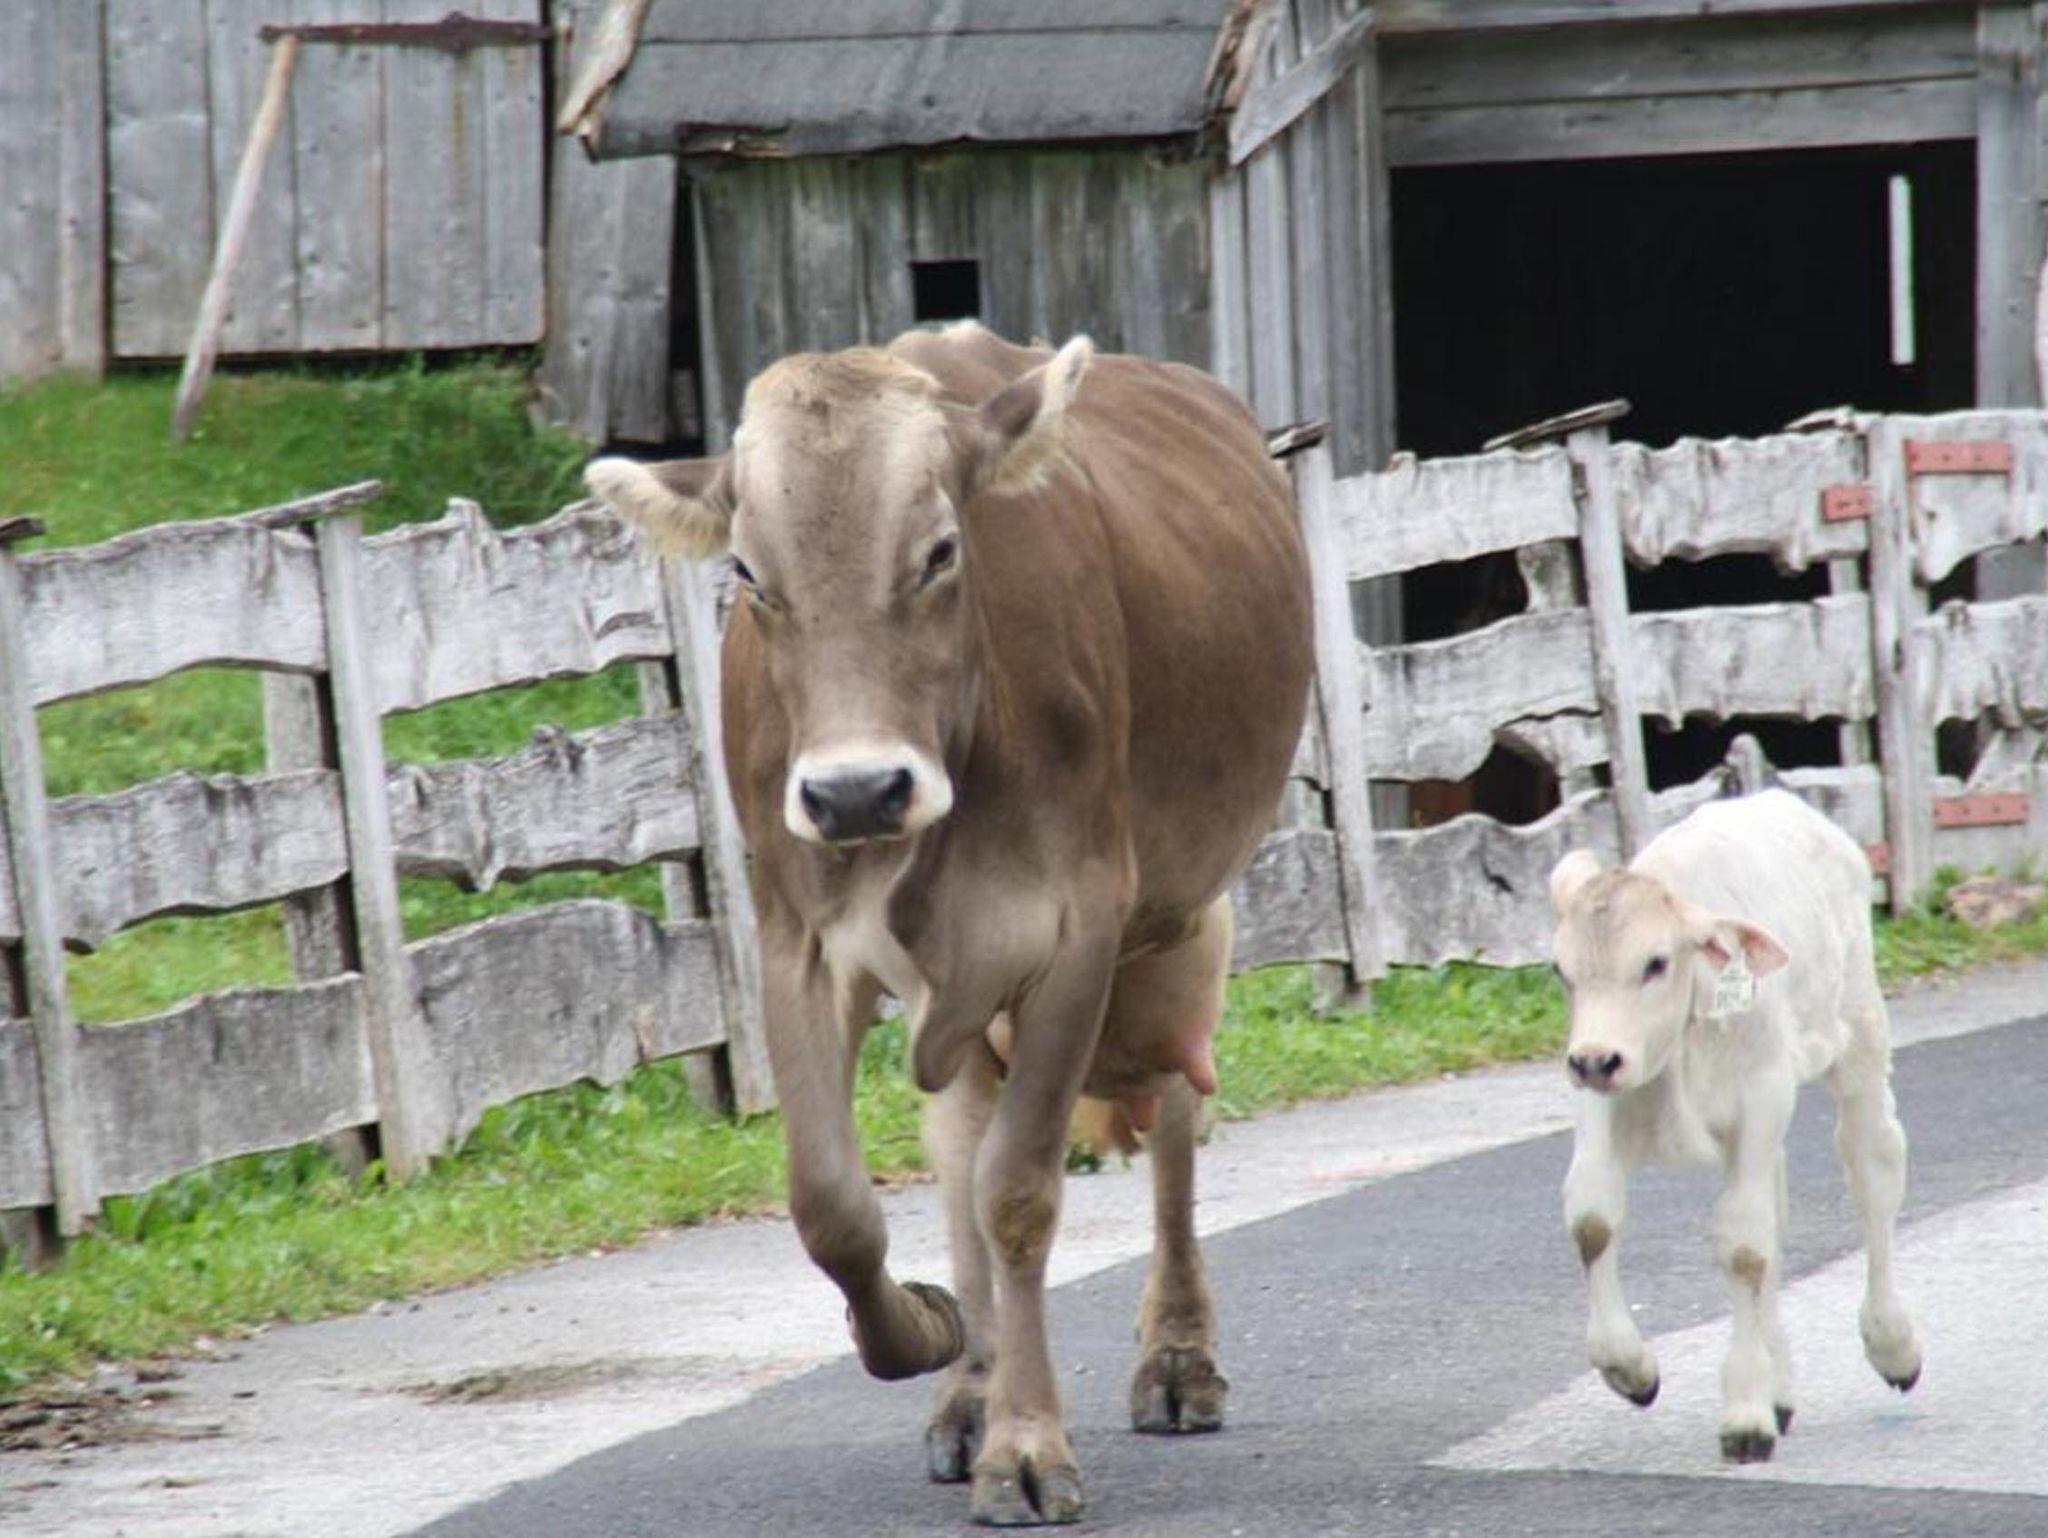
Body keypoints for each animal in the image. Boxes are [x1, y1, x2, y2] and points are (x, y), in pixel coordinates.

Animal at [584, 321, 1312, 1524]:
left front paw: (1025, 1447)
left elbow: (1017, 1191)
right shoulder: (795, 943)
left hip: (1181, 926)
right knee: (961, 1141)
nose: (853, 792)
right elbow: (836, 1203)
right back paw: (968, 1386)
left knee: (1169, 1117)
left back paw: (1175, 1359)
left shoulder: (1076, 933)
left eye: (937, 552)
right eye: (748, 574)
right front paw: (930, 1331)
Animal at [1547, 789, 1923, 1464]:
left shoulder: (1760, 1095)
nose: (1594, 1059)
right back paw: (1782, 1388)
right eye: (1561, 970)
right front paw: (1630, 1368)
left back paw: (1892, 1343)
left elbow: (1744, 1246)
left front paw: (1746, 1416)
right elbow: (1592, 1217)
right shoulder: (1602, 1099)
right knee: (1776, 1212)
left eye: (1655, 963)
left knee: (1872, 1168)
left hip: (1858, 1033)